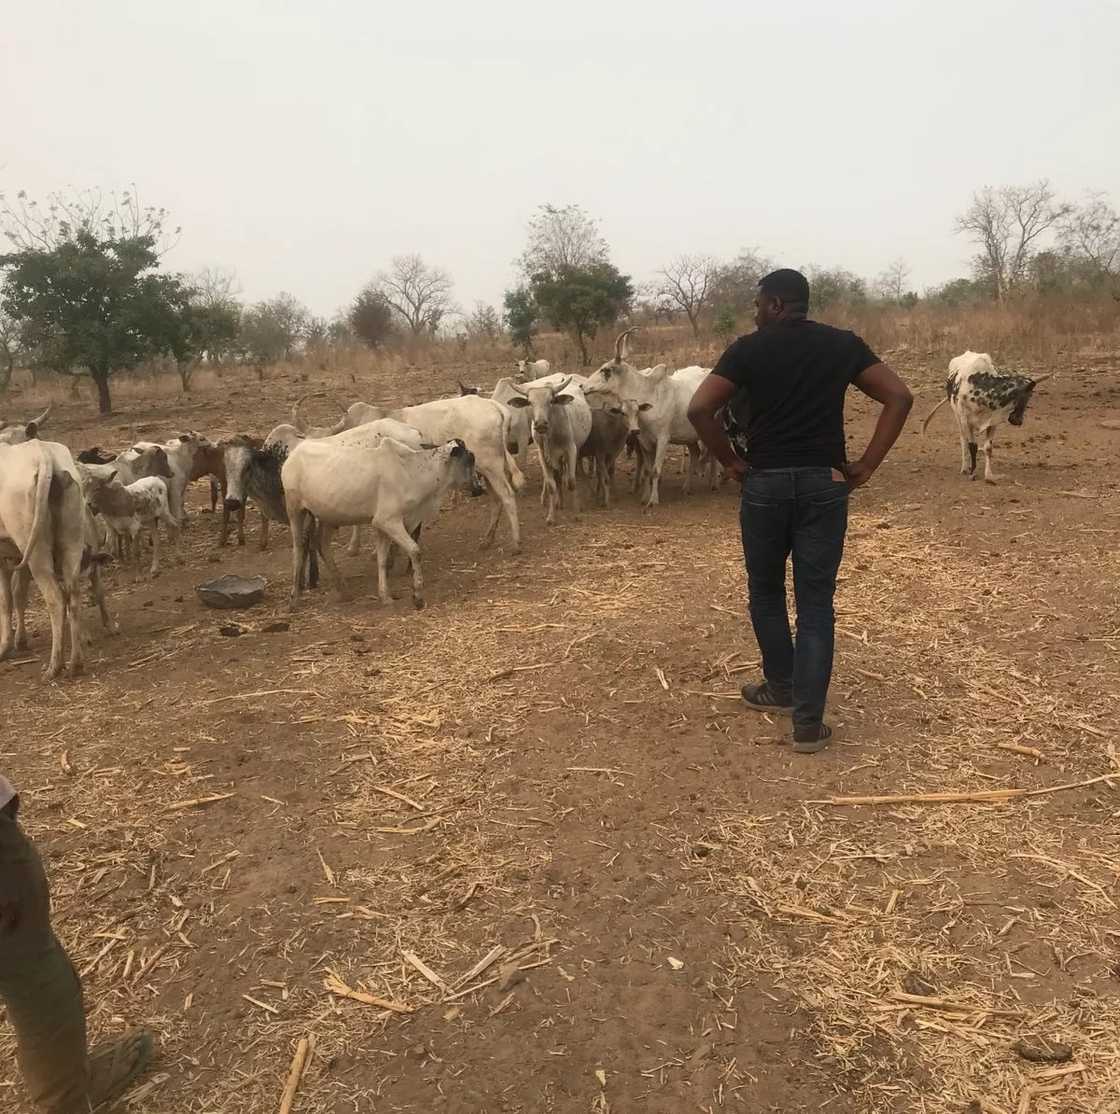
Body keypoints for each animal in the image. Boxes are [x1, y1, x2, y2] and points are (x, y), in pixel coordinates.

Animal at [0, 439, 86, 678]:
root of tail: (43, 452)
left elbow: (6, 599)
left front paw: (4, 646)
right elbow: (16, 595)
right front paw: (19, 641)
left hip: (36, 551)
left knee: (55, 598)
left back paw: (54, 667)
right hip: (71, 541)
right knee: (73, 595)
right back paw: (75, 664)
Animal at [282, 437, 482, 609]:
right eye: (470, 459)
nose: (479, 489)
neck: (412, 471)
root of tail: (294, 454)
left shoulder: (382, 526)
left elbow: (382, 560)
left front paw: (385, 596)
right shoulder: (389, 521)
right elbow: (415, 551)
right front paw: (417, 597)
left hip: (328, 517)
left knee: (322, 545)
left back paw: (344, 591)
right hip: (295, 509)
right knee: (299, 549)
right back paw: (294, 598)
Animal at [338, 395, 524, 552]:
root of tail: (493, 405)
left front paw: (354, 546)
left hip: (492, 466)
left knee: (507, 496)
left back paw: (515, 543)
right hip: (486, 470)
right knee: (496, 500)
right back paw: (487, 540)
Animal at [503, 374, 592, 524]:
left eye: (551, 401)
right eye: (530, 402)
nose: (540, 424)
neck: (552, 434)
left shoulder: (571, 449)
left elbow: (571, 482)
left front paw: (576, 513)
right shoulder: (543, 454)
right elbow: (551, 485)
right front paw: (551, 516)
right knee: (554, 477)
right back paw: (554, 501)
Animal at [921, 350, 1052, 484]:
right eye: (1027, 395)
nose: (1018, 421)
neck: (982, 389)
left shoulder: (993, 422)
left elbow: (988, 448)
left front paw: (989, 475)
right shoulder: (966, 420)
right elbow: (972, 446)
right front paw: (972, 473)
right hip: (958, 417)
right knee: (963, 440)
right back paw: (965, 467)